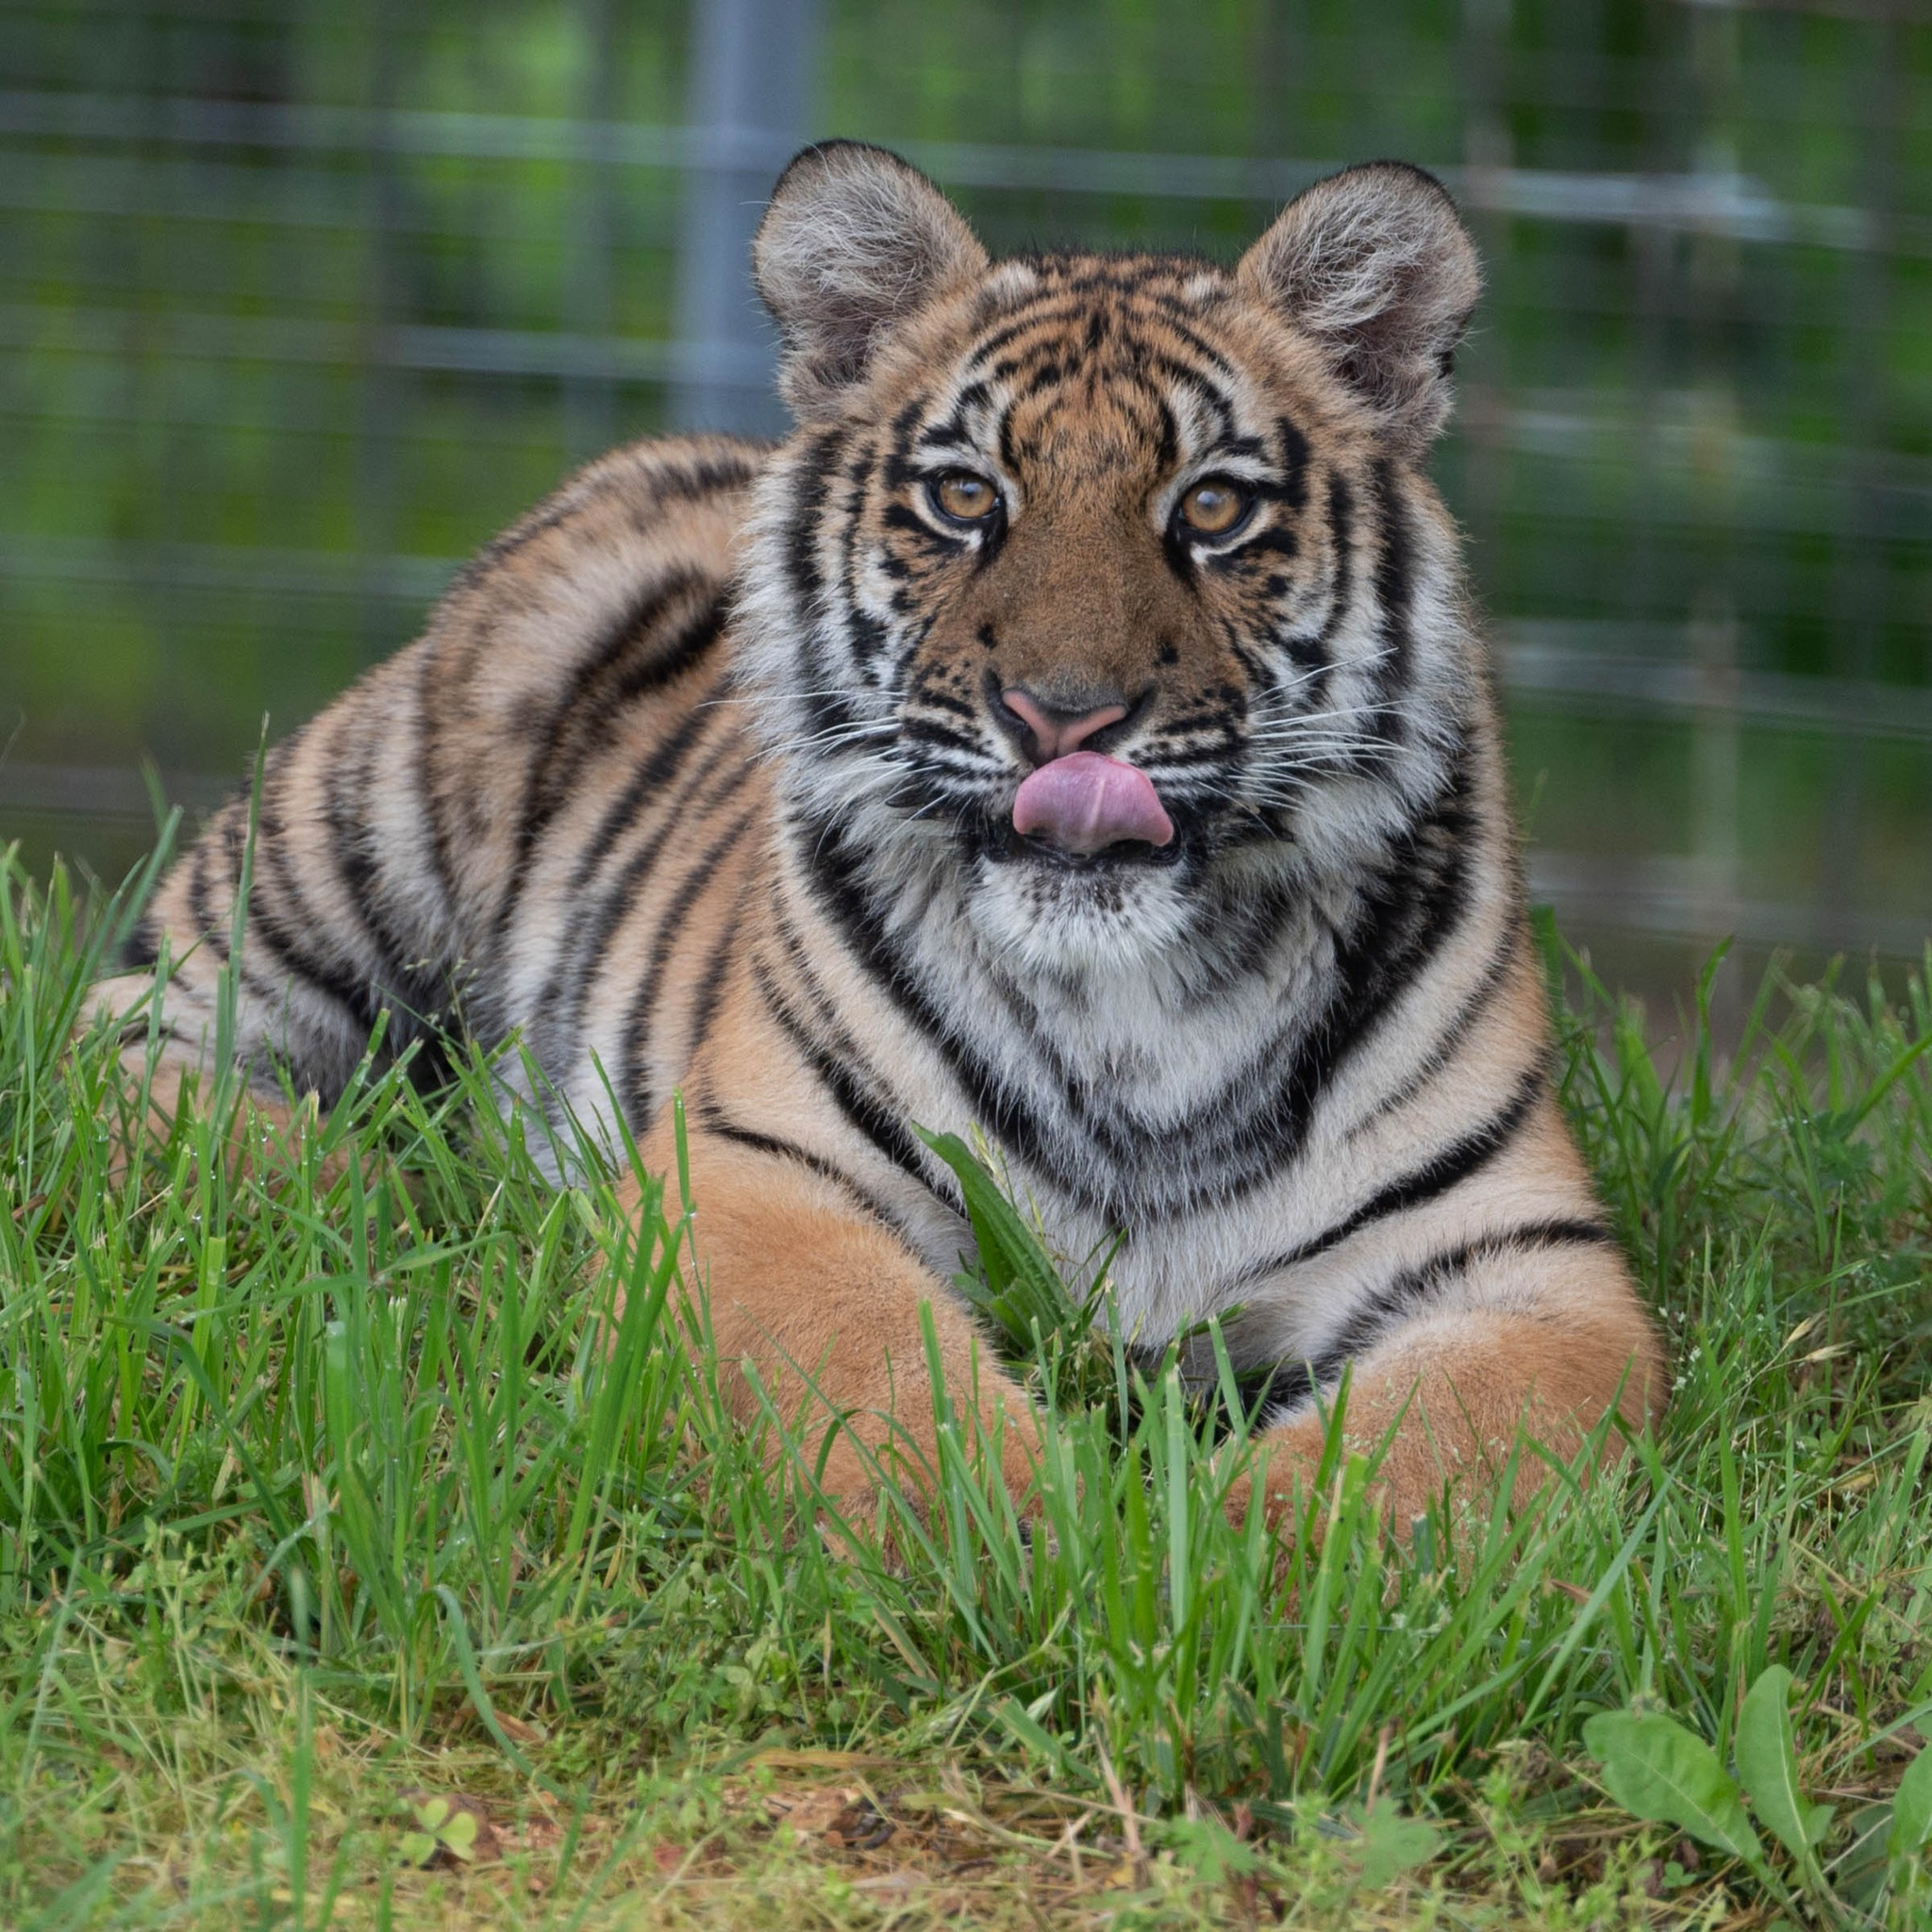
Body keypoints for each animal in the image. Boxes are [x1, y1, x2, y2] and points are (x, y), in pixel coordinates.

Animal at [95, 142, 1664, 1533]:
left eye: (1214, 506)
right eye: (965, 497)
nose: (1064, 717)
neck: (1137, 1010)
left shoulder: (1531, 1263)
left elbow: (1435, 1450)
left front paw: (1234, 1569)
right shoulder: (756, 1170)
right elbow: (872, 1373)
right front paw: (1032, 1538)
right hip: (327, 867)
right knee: (124, 1056)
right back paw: (414, 1200)